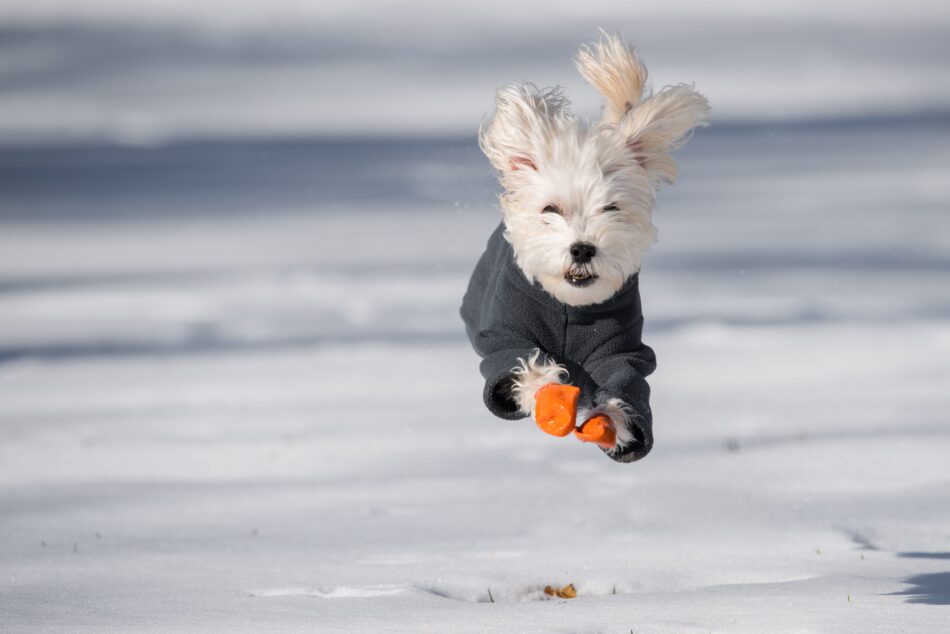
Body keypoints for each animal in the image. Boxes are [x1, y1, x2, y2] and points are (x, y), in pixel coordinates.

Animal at [462, 33, 708, 460]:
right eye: (551, 209)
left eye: (611, 208)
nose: (582, 249)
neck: (569, 307)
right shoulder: (504, 336)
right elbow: (521, 367)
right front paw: (551, 398)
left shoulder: (622, 350)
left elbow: (627, 383)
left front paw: (613, 423)